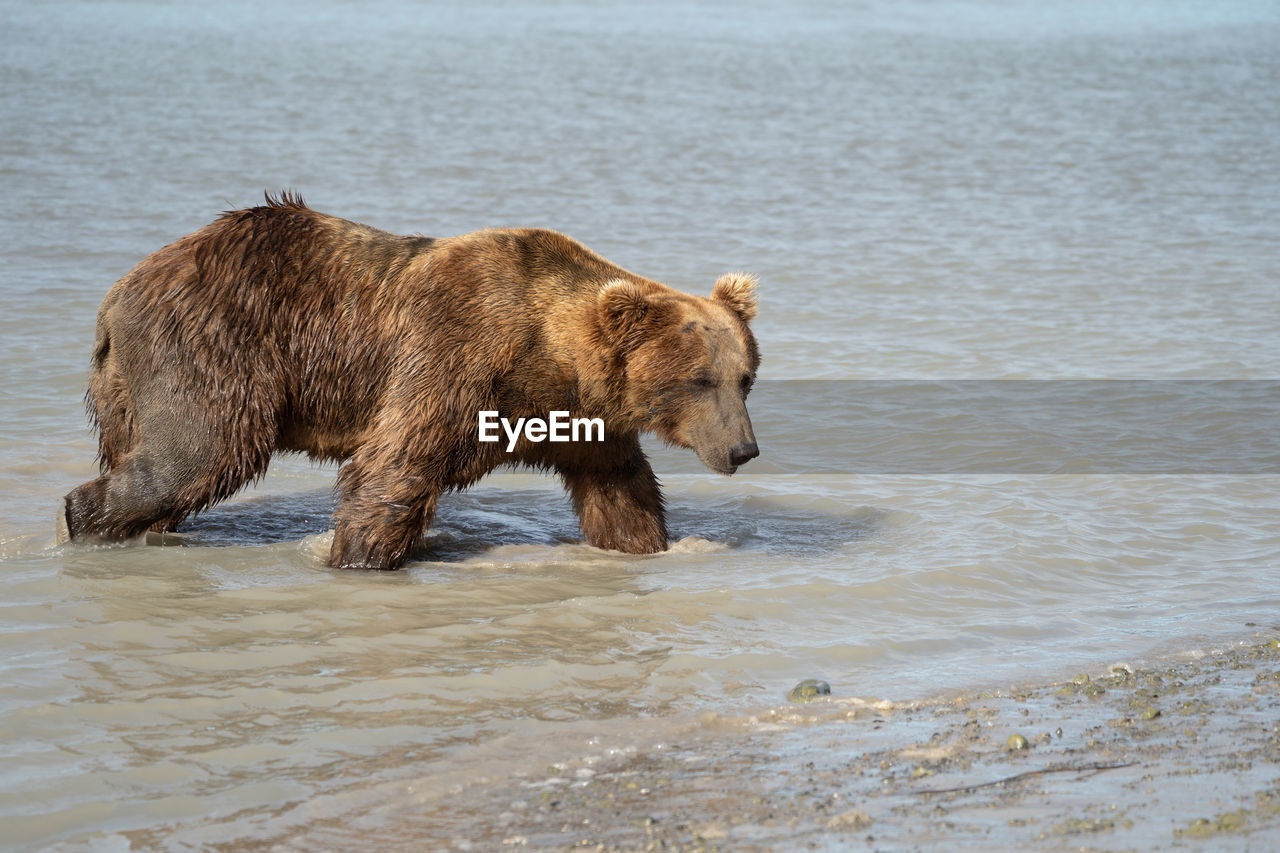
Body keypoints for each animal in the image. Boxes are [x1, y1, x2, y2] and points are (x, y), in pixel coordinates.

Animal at [60, 192, 757, 563]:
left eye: (744, 377)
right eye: (700, 380)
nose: (743, 449)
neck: (552, 355)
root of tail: (117, 296)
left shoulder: (584, 418)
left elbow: (621, 492)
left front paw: (647, 545)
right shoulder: (455, 354)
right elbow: (393, 467)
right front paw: (359, 556)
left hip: (129, 388)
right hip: (211, 350)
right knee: (195, 452)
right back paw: (88, 522)